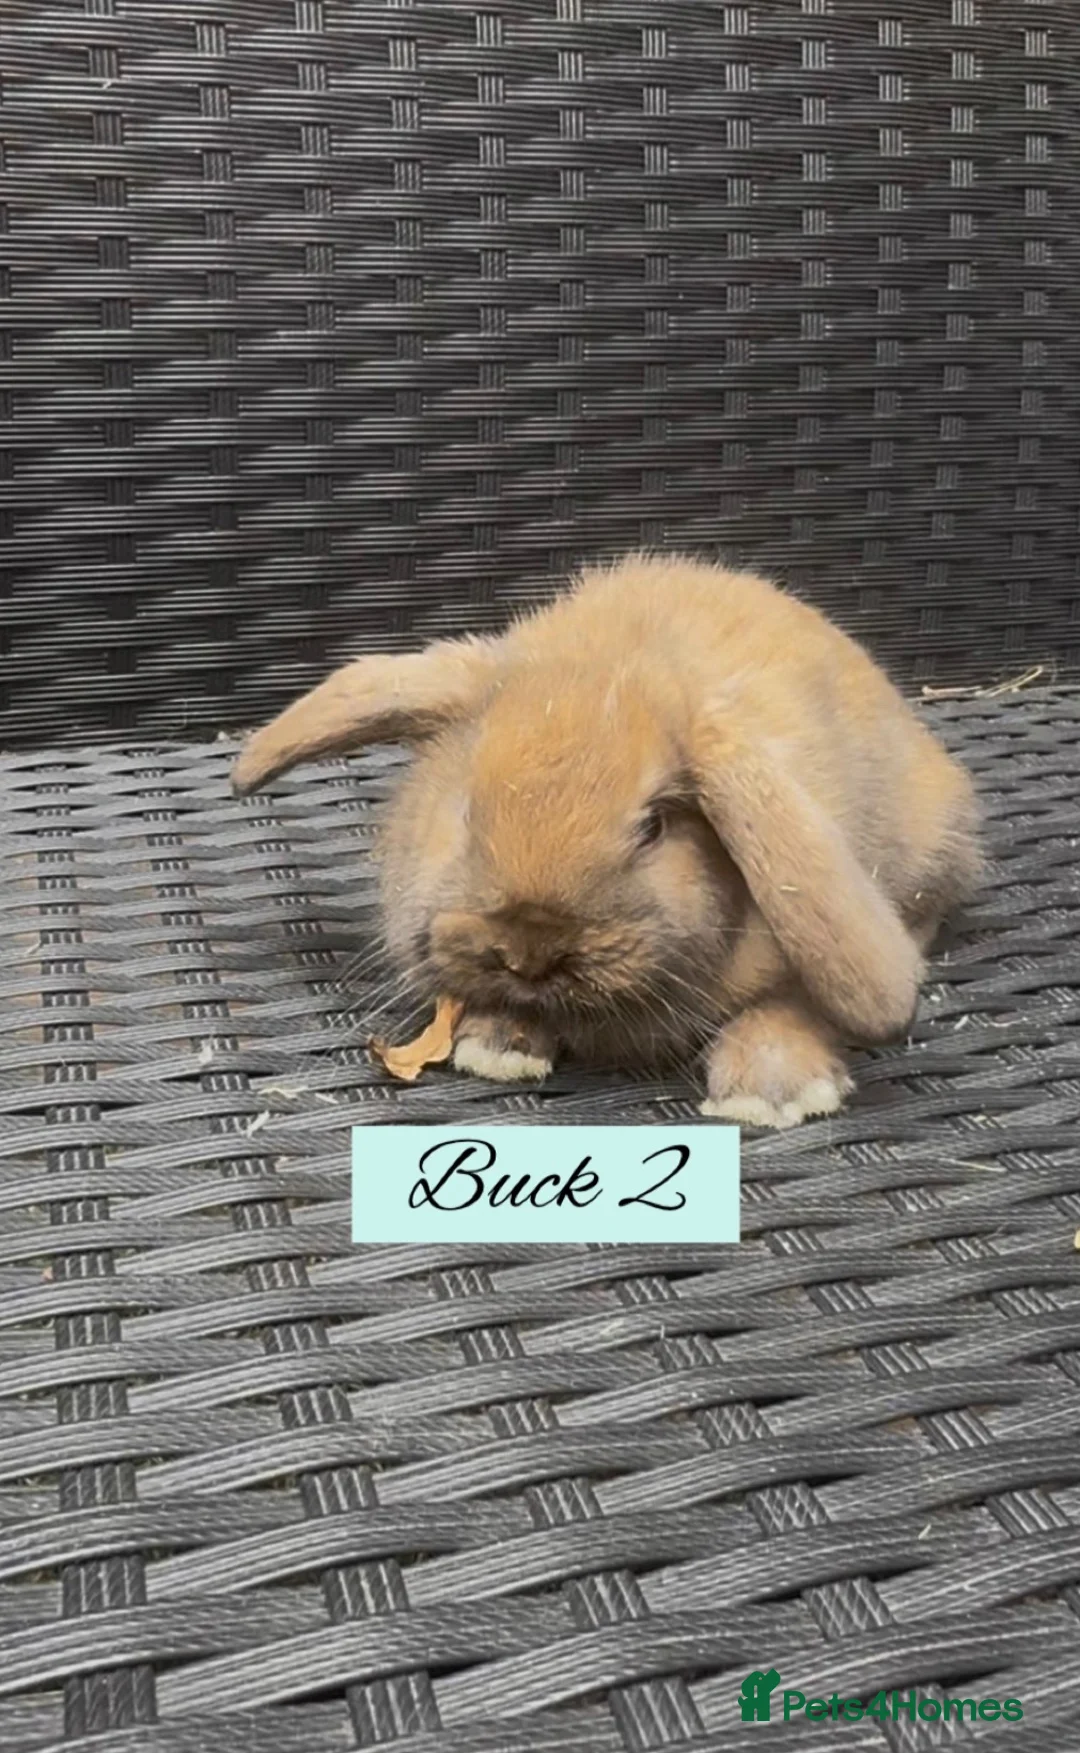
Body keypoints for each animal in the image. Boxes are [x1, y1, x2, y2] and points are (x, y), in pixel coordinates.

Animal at [231, 554, 982, 1128]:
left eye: (653, 827)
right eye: (467, 809)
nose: (529, 949)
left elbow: (790, 1004)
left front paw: (771, 1093)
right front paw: (496, 1043)